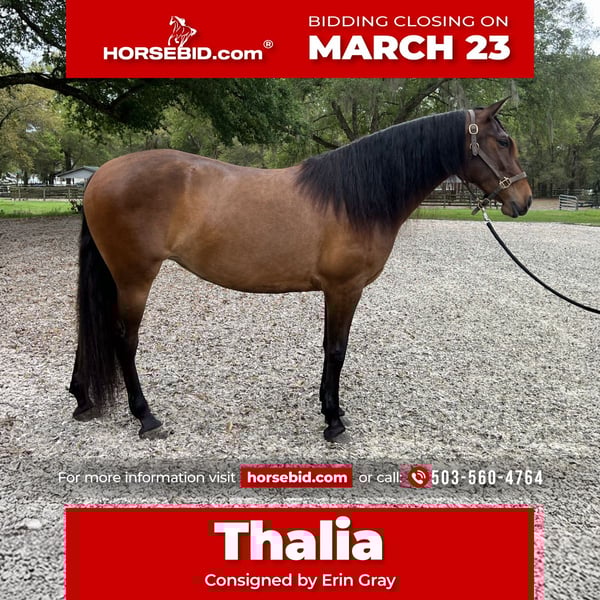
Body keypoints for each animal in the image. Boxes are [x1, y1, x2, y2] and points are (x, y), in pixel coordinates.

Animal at [69, 98, 532, 441]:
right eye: (504, 141)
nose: (523, 200)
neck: (355, 196)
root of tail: (99, 176)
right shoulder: (344, 288)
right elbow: (337, 350)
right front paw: (334, 421)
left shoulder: (336, 290)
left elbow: (330, 348)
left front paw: (331, 409)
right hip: (134, 278)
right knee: (123, 341)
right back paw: (146, 418)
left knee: (92, 330)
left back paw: (82, 400)